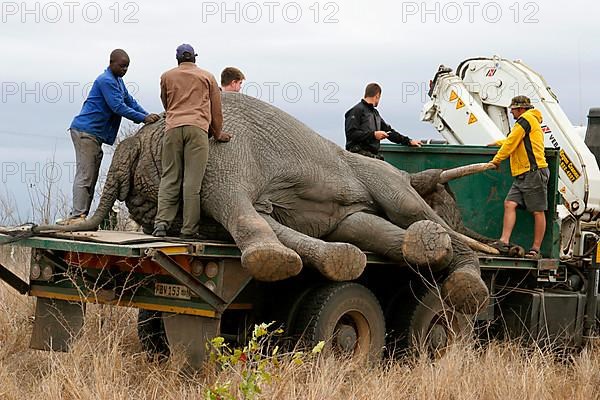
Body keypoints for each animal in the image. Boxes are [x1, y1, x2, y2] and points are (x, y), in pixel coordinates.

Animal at [35, 92, 490, 314]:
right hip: (357, 211)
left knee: (408, 212)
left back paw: (464, 276)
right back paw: (424, 250)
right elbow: (260, 218)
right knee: (367, 228)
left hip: (383, 179)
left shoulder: (223, 154)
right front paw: (332, 261)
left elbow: (241, 207)